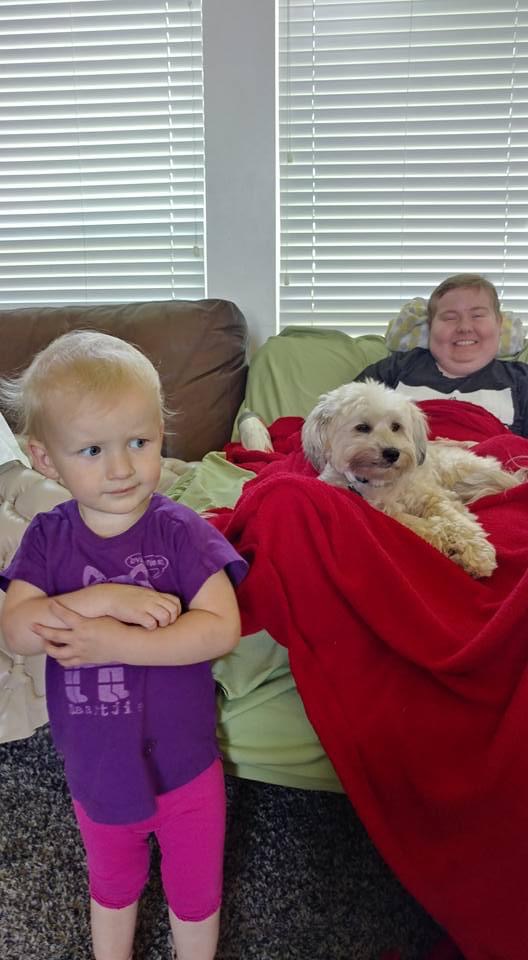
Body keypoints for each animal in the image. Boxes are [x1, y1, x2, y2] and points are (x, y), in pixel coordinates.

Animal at [301, 379, 527, 578]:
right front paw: (441, 536)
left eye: (396, 426)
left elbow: (458, 519)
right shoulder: (385, 513)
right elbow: (414, 524)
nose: (392, 453)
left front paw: (477, 553)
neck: (380, 482)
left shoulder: (430, 495)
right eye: (362, 427)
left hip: (460, 469)